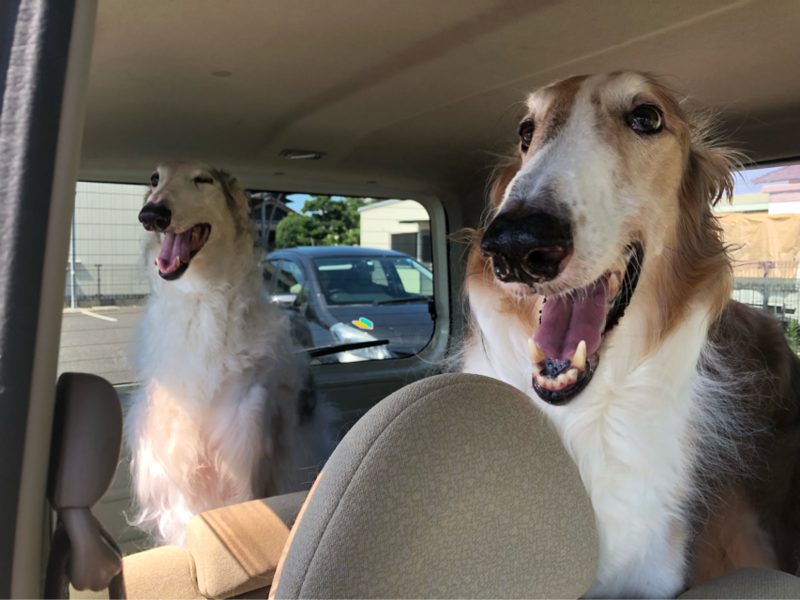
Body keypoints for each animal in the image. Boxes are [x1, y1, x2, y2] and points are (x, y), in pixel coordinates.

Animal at [126, 162, 335, 547]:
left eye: (203, 178)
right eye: (154, 179)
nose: (151, 215)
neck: (199, 298)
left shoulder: (242, 461)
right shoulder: (175, 481)